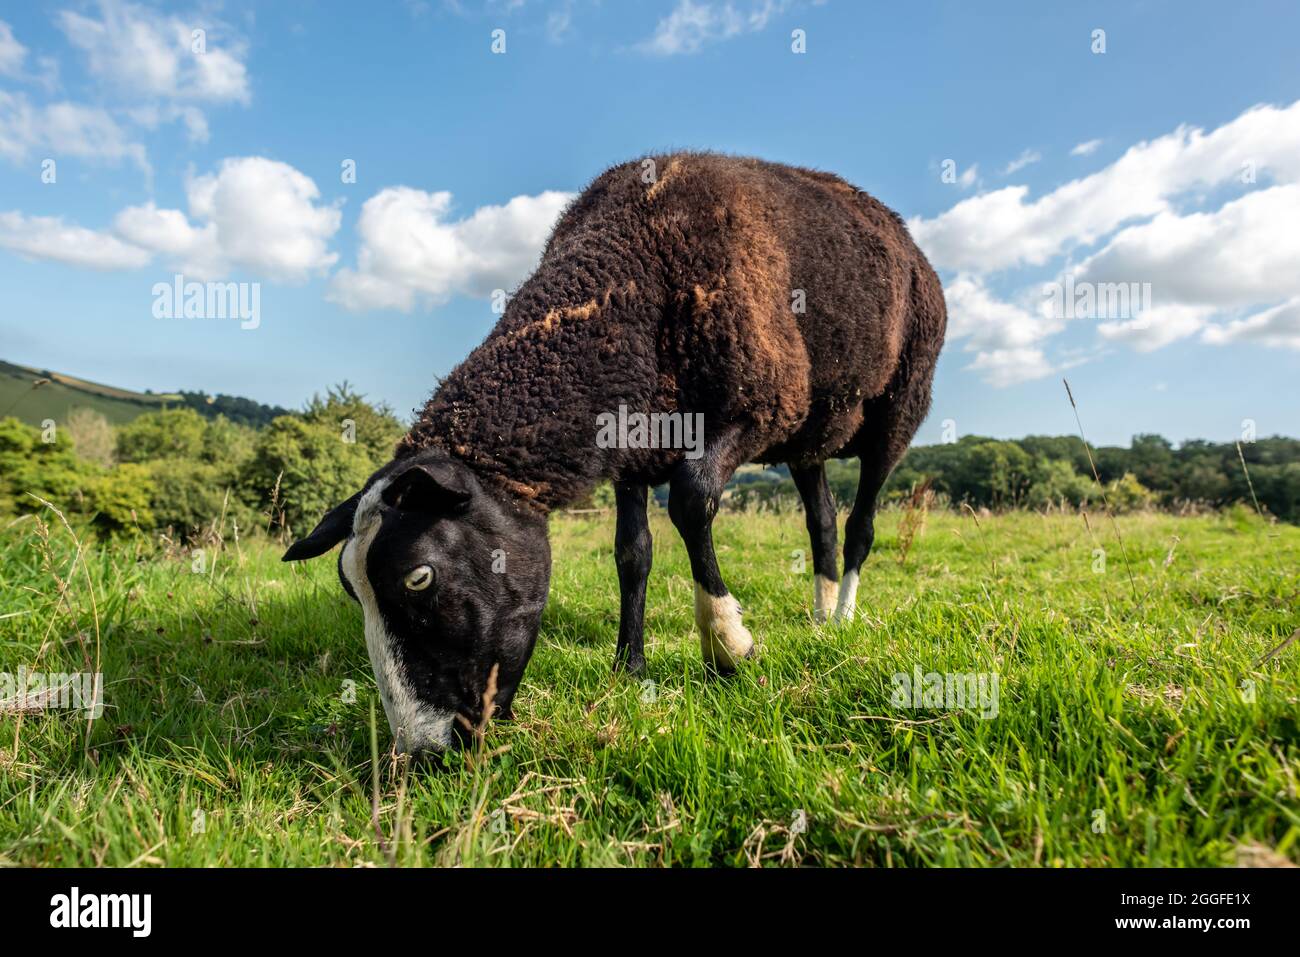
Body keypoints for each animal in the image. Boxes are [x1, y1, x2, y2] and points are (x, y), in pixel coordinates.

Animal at [284, 153, 951, 754]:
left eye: (419, 577)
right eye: (353, 592)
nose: (422, 751)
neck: (631, 273)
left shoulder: (758, 405)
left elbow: (692, 501)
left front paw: (726, 646)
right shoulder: (633, 446)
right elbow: (632, 553)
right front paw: (629, 666)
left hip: (897, 406)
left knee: (861, 522)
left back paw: (843, 617)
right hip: (808, 434)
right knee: (823, 522)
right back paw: (819, 615)